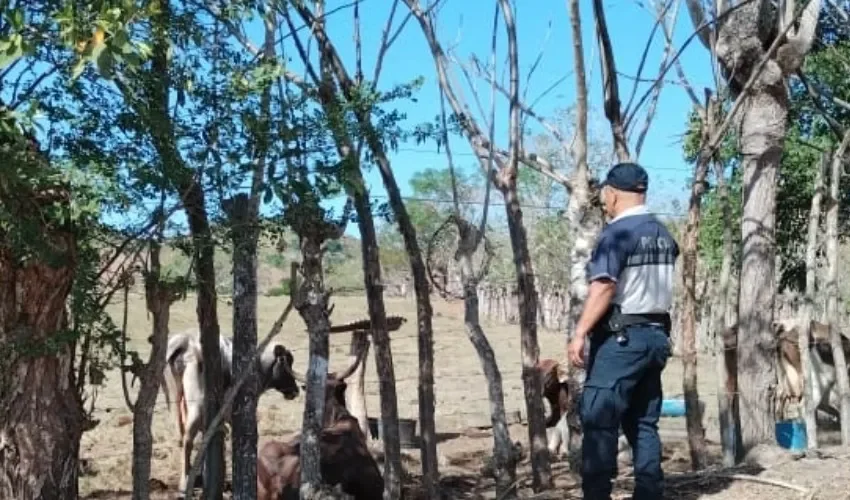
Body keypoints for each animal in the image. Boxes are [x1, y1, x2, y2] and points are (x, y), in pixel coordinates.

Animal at [161, 330, 302, 494]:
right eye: (286, 363)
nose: (295, 391)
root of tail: (185, 341)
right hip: (196, 404)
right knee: (188, 440)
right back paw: (184, 484)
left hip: (177, 399)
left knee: (182, 435)